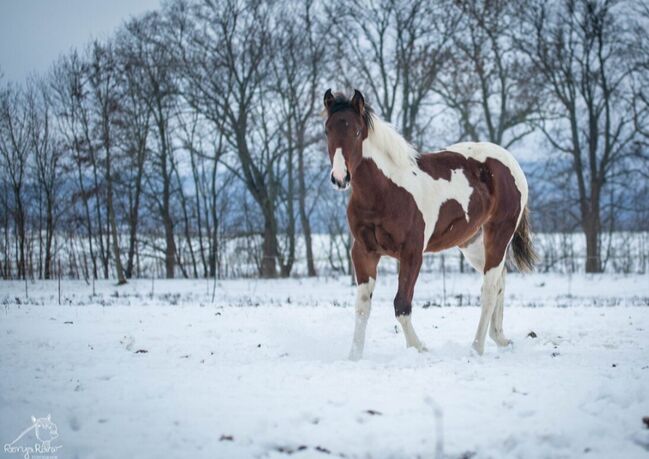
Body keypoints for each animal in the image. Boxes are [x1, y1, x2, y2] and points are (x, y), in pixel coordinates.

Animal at [322, 89, 536, 360]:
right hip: (474, 244)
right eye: (327, 130)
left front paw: (419, 348)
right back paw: (500, 338)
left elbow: (402, 305)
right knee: (500, 280)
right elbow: (362, 307)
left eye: (357, 132)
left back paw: (477, 347)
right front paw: (354, 357)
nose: (340, 178)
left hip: (499, 234)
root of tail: (510, 162)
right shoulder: (364, 252)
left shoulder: (412, 253)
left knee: (488, 289)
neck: (384, 191)